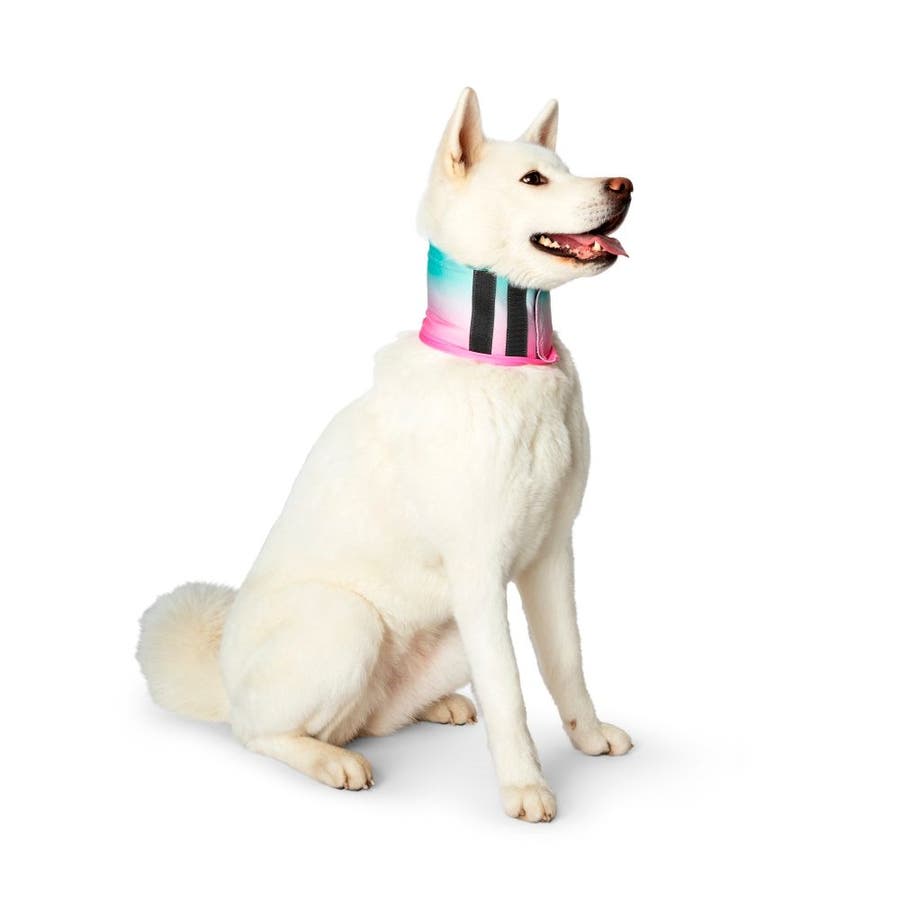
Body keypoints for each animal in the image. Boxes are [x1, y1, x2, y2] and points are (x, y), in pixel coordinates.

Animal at [138, 88, 634, 822]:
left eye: (567, 168)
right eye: (533, 180)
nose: (625, 185)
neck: (504, 355)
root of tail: (224, 682)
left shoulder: (551, 556)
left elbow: (564, 661)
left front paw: (588, 736)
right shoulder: (479, 573)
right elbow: (510, 692)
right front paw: (525, 786)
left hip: (446, 638)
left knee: (367, 718)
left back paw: (433, 707)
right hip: (349, 622)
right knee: (260, 734)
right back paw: (328, 760)